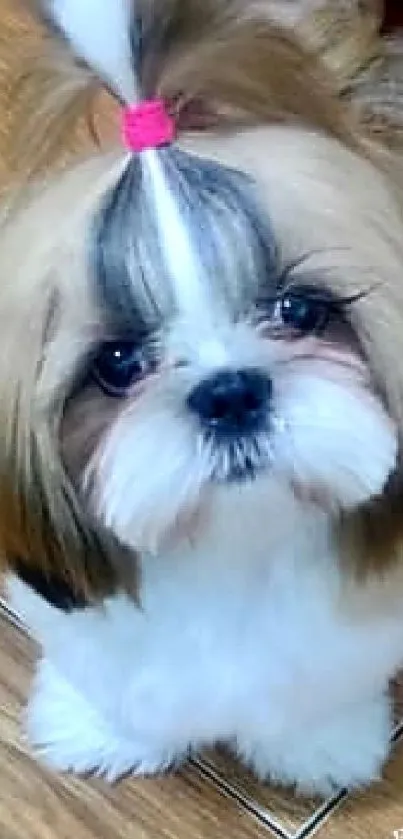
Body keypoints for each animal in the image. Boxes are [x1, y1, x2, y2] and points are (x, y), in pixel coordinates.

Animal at [0, 0, 403, 796]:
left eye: (299, 310)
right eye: (118, 362)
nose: (229, 393)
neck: (233, 547)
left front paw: (321, 745)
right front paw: (100, 729)